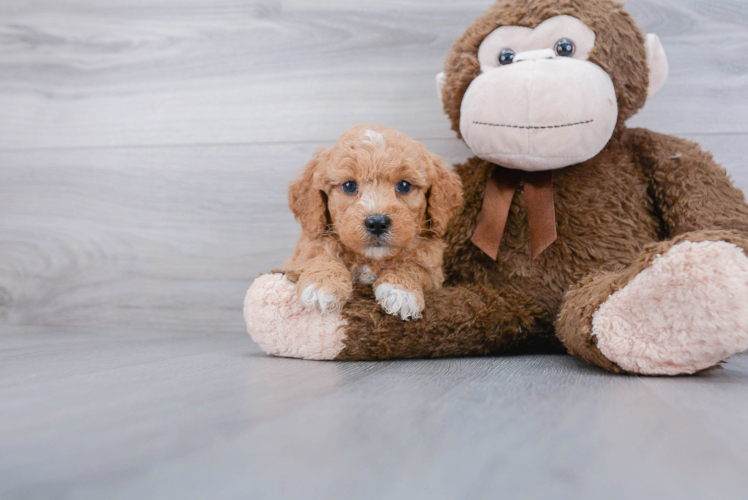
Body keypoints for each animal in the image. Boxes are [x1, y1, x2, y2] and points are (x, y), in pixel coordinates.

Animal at [284, 125, 462, 320]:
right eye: (349, 186)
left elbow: (412, 266)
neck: (370, 259)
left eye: (404, 186)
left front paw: (400, 291)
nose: (377, 223)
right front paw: (322, 284)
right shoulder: (301, 253)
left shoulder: (433, 270)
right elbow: (319, 254)